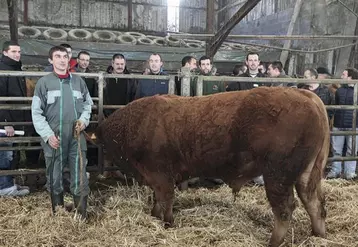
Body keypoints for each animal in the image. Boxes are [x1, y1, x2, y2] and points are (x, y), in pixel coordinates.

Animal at [96, 87, 330, 247]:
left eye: (103, 147)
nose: (105, 173)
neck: (138, 124)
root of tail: (305, 95)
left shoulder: (161, 175)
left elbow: (166, 200)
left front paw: (168, 224)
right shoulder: (157, 178)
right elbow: (158, 201)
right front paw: (156, 217)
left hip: (277, 176)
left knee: (284, 209)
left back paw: (273, 242)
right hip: (306, 174)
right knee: (314, 203)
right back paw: (319, 235)